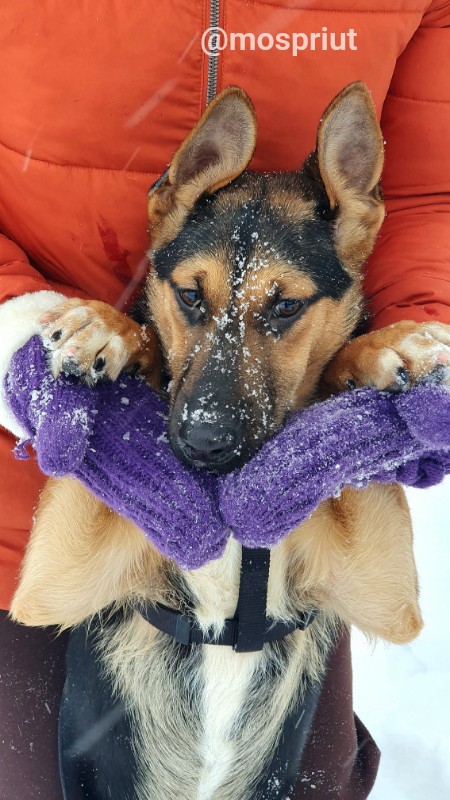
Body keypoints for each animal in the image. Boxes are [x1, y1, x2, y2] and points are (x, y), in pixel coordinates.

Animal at [9, 84, 450, 796]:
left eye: (286, 307)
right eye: (190, 295)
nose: (203, 443)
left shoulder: (386, 594)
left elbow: (338, 384)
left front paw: (388, 349)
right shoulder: (54, 583)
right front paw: (108, 333)